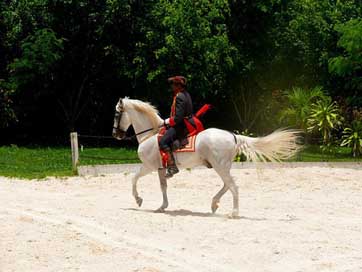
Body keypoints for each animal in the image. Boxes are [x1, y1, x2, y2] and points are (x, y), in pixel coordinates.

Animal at [112, 97, 300, 217]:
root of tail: (233, 136)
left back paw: (233, 213)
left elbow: (134, 178)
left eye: (116, 114)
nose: (115, 135)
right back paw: (214, 204)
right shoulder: (160, 168)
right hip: (222, 166)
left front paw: (138, 200)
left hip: (220, 166)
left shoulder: (149, 166)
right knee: (227, 185)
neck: (150, 134)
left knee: (233, 186)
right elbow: (163, 186)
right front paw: (162, 207)